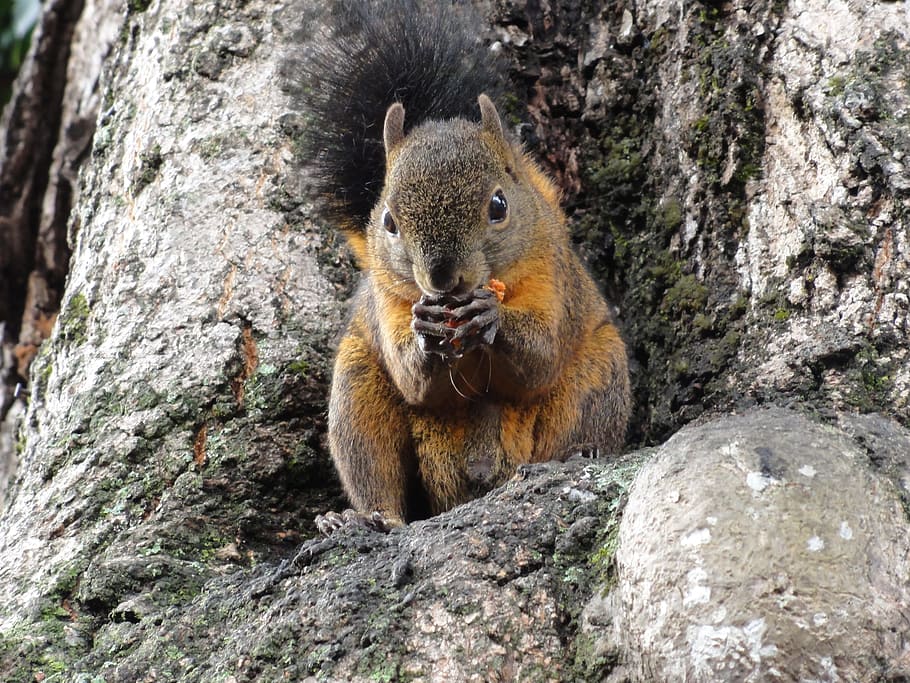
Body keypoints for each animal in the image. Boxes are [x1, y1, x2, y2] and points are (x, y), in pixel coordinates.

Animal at [289, 0, 631, 532]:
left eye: (499, 205)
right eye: (388, 220)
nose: (442, 278)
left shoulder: (550, 275)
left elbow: (540, 357)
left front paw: (492, 317)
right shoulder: (389, 300)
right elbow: (414, 380)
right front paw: (427, 330)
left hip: (599, 371)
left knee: (576, 414)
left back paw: (581, 452)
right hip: (357, 388)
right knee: (373, 469)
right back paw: (364, 518)